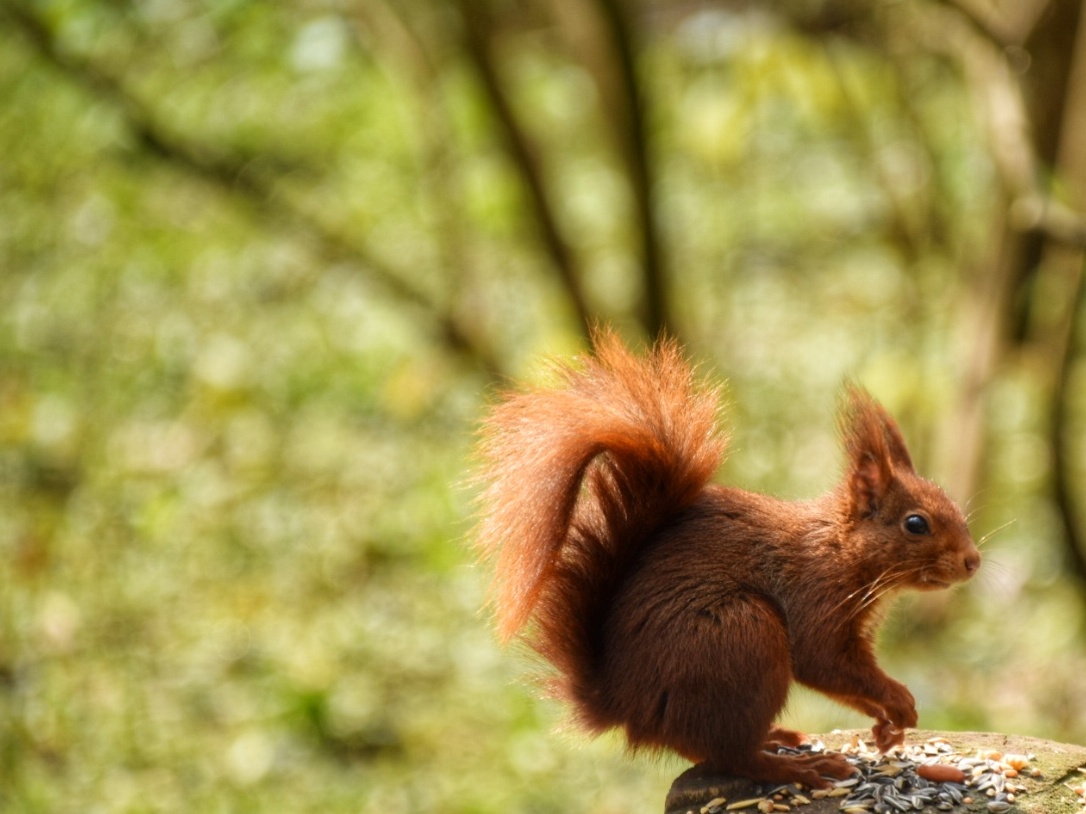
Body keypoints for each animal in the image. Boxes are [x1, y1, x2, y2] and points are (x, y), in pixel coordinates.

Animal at [471, 332, 981, 790]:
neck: (840, 549)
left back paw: (778, 739)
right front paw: (900, 702)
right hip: (742, 636)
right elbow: (824, 663)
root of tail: (622, 707)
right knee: (731, 754)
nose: (973, 561)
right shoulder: (817, 595)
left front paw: (887, 727)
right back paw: (797, 768)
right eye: (916, 524)